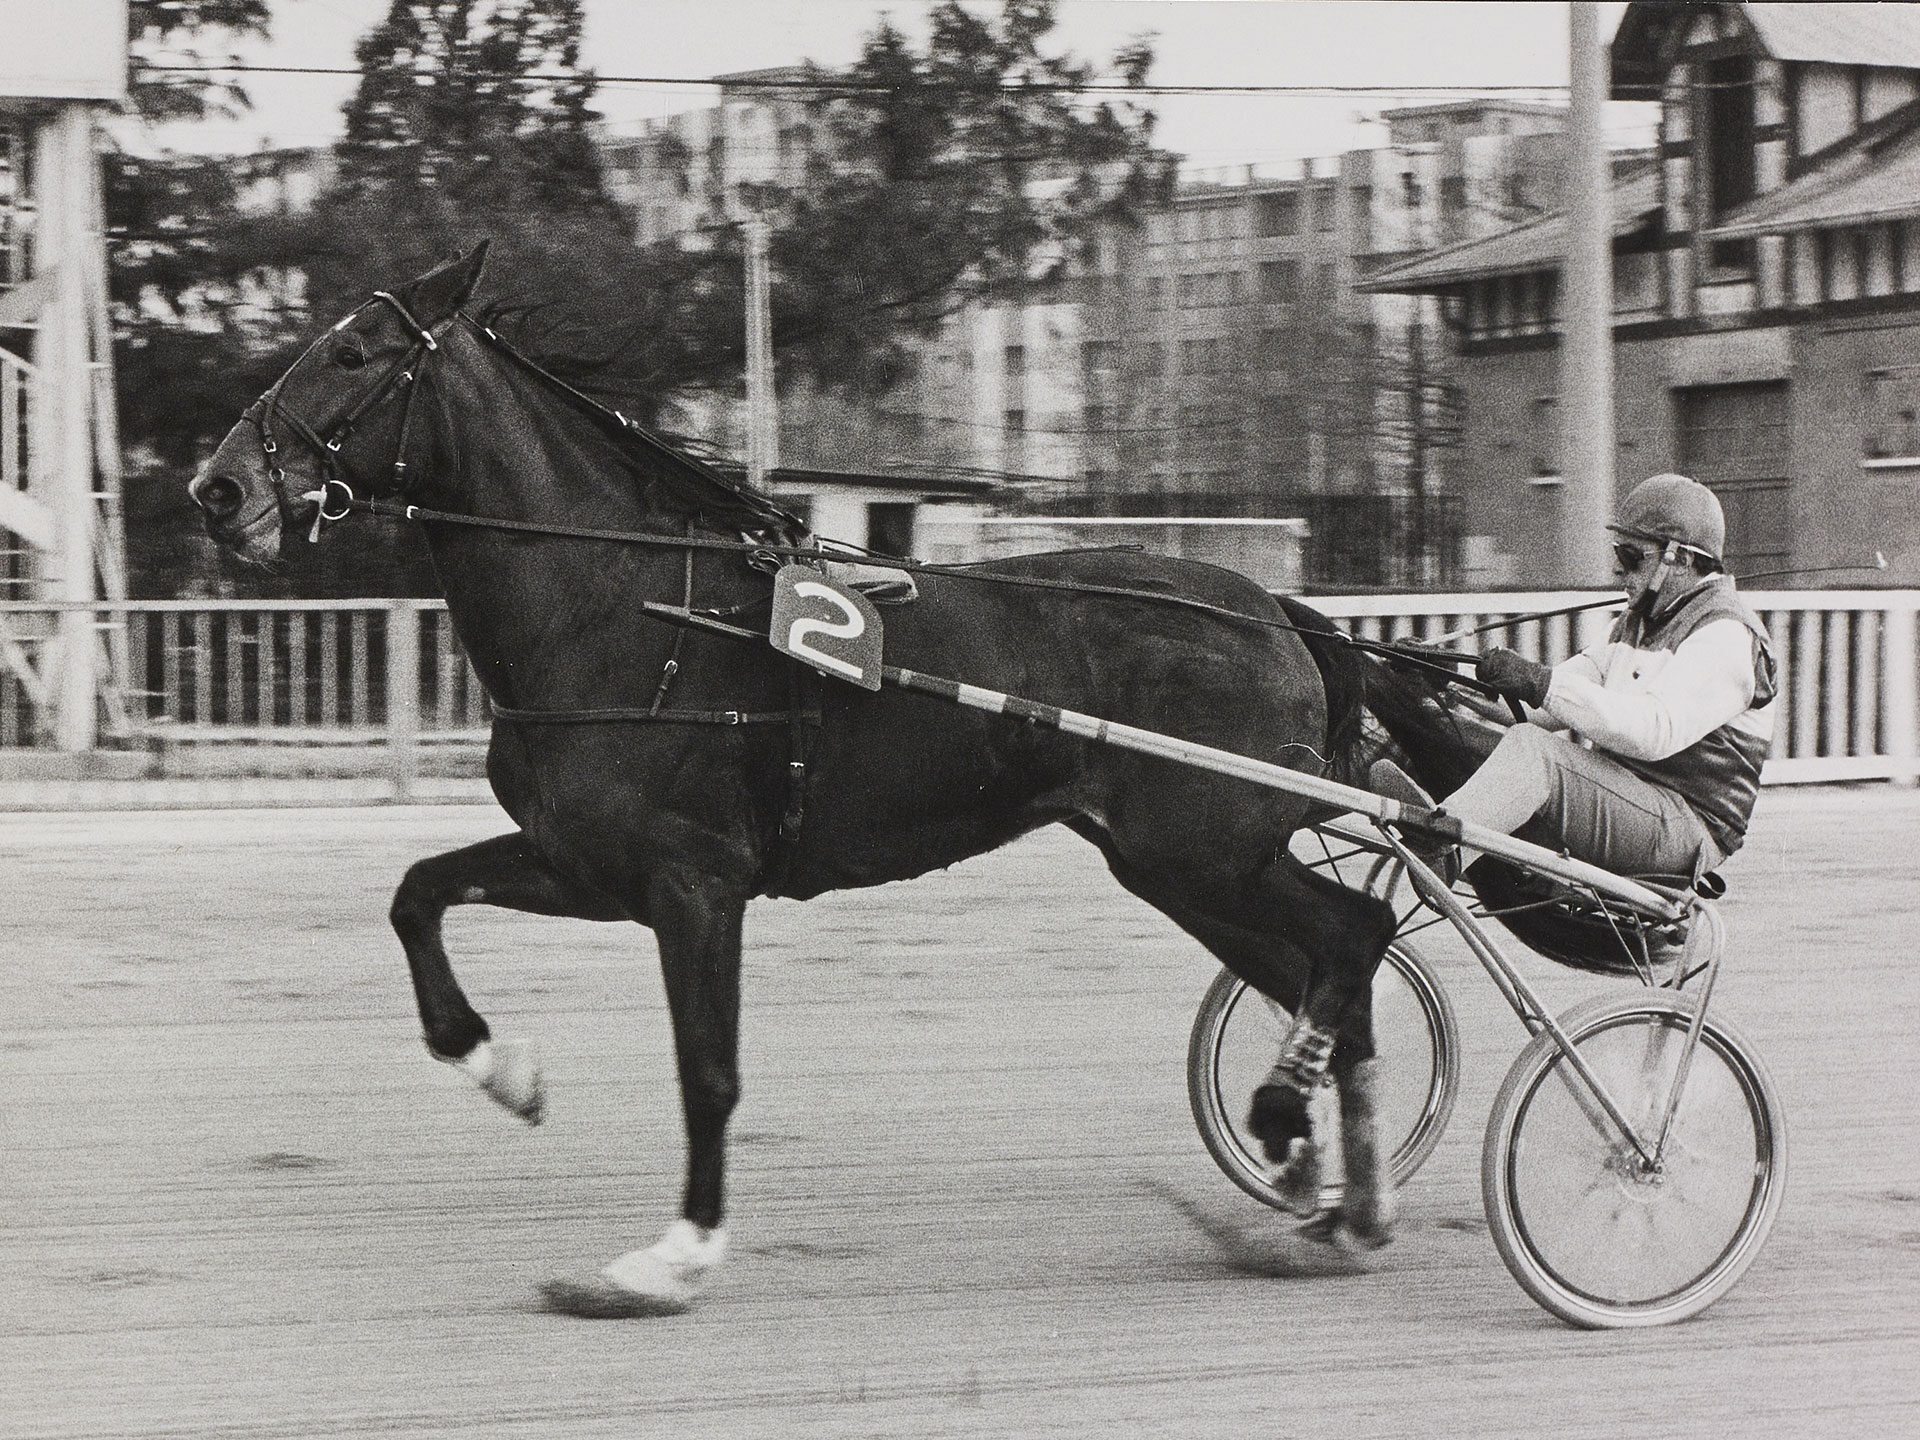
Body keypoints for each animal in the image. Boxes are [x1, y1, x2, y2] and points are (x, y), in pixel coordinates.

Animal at [187, 247, 1405, 1320]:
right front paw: (504, 1070)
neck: (628, 610)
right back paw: (1331, 1197)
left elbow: (708, 1071)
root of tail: (1272, 608)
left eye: (353, 353)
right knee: (1327, 979)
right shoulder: (588, 864)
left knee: (1355, 935)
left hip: (1205, 849)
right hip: (1180, 866)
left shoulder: (695, 882)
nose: (219, 486)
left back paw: (1300, 1139)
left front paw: (671, 1260)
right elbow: (418, 893)